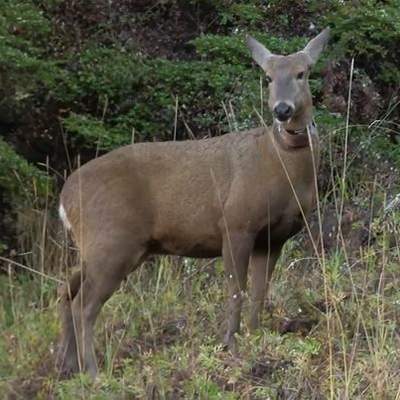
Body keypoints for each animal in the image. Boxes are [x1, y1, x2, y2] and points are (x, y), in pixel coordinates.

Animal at [57, 28, 332, 376]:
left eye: (302, 72)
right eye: (267, 77)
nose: (282, 110)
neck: (281, 167)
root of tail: (65, 199)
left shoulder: (274, 237)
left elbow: (259, 291)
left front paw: (255, 335)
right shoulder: (236, 223)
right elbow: (235, 290)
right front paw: (230, 343)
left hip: (101, 247)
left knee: (66, 290)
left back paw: (67, 365)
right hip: (113, 241)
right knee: (84, 304)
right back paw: (93, 372)